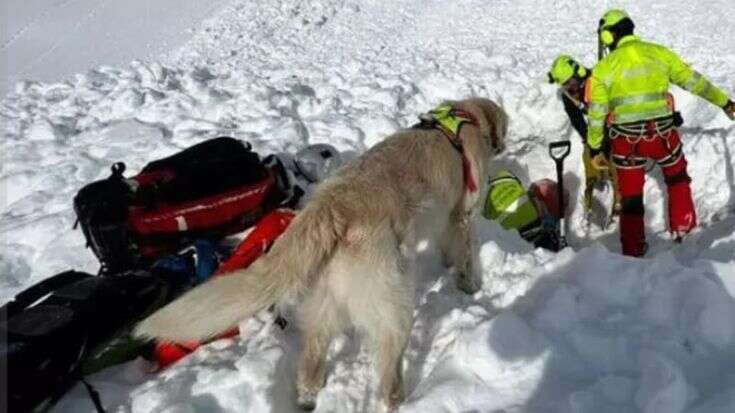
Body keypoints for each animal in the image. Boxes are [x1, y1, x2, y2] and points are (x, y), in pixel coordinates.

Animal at [135, 98, 506, 410]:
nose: (503, 145)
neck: (464, 118)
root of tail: (331, 206)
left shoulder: (447, 220)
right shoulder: (463, 214)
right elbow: (467, 253)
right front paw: (470, 286)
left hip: (325, 302)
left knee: (311, 365)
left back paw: (308, 399)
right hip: (393, 302)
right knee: (387, 370)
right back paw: (401, 400)